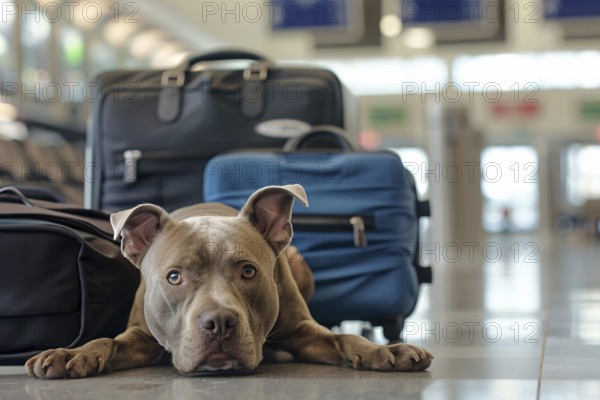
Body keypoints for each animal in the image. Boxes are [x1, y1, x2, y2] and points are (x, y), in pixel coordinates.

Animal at [25, 184, 434, 378]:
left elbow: (343, 338)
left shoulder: (304, 332)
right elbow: (106, 341)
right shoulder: (140, 335)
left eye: (248, 271)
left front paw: (386, 351)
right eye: (174, 277)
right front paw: (71, 353)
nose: (219, 322)